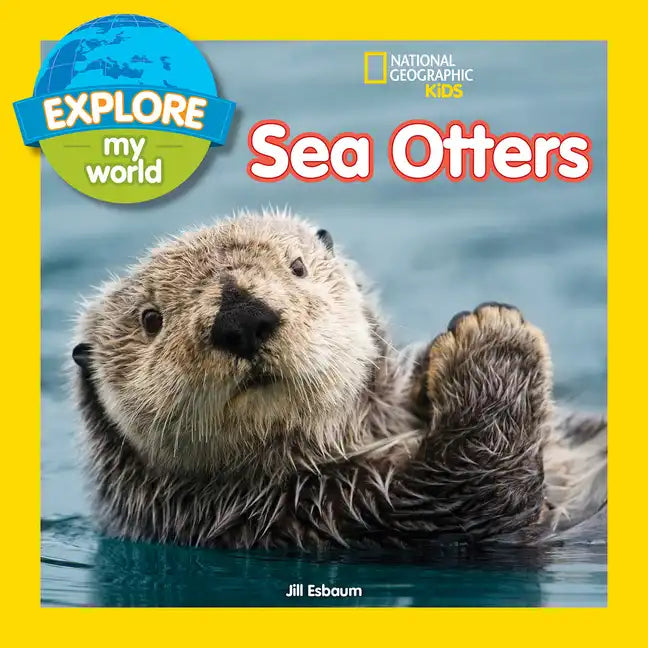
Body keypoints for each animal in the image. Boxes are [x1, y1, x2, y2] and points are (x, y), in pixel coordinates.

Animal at [72, 210, 607, 550]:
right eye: (151, 319)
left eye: (297, 267)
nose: (241, 318)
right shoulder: (351, 519)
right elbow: (483, 490)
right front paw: (490, 333)